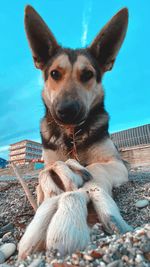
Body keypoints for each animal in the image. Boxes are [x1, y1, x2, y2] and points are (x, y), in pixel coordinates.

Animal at [17, 5, 132, 260]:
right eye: (54, 74)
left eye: (87, 74)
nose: (66, 111)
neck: (72, 135)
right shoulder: (50, 160)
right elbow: (44, 174)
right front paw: (47, 194)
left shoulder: (113, 162)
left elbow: (96, 168)